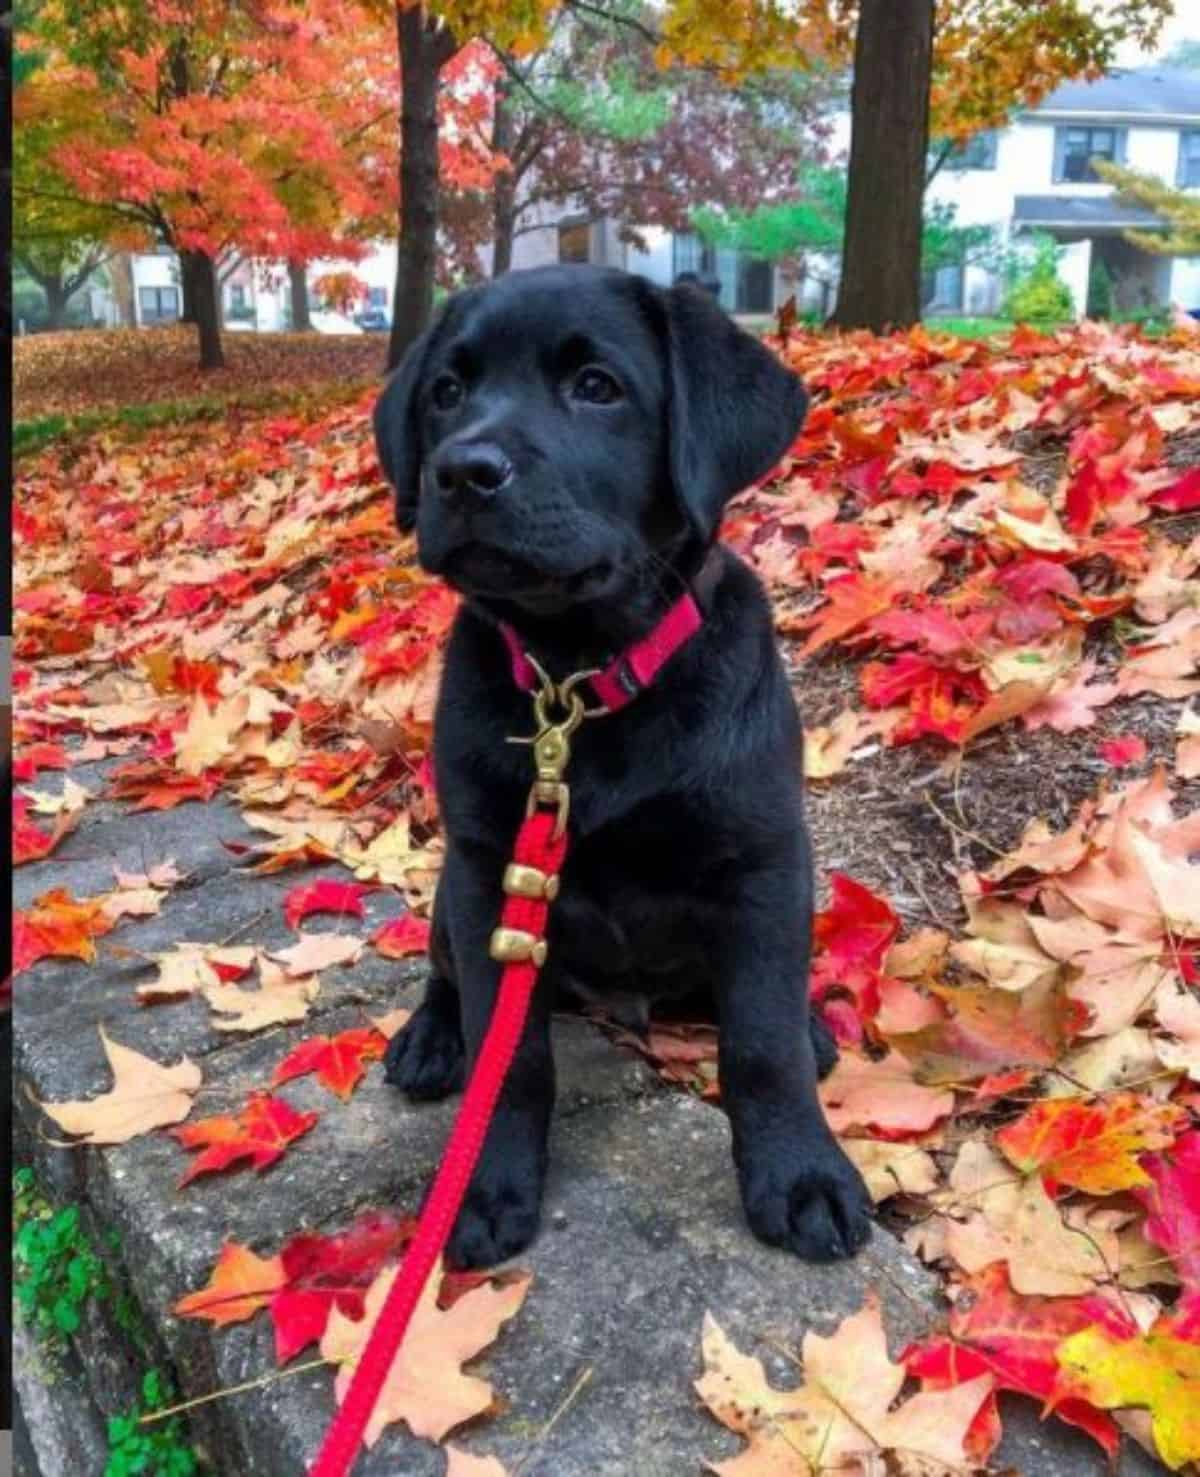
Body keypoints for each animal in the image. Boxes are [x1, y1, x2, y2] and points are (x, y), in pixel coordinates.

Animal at [370, 262, 868, 1270]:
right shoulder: (489, 873)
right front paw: (483, 1183)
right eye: (446, 391)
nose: (462, 471)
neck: (581, 680)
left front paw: (800, 1173)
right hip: (451, 893)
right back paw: (430, 1038)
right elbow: (512, 1053)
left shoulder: (764, 862)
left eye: (596, 386)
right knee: (448, 979)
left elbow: (760, 1045)